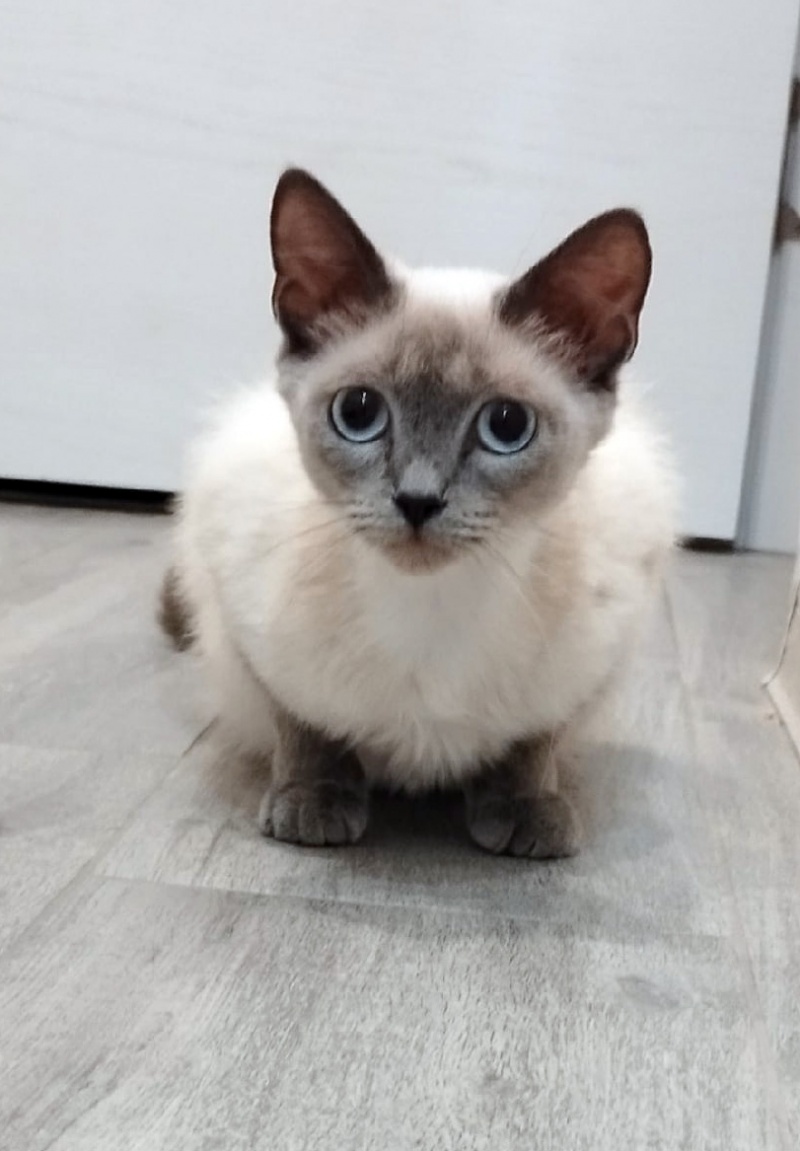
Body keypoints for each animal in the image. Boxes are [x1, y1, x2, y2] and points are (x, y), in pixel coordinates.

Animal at [161, 167, 676, 858]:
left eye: (506, 427)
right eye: (357, 413)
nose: (418, 501)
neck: (431, 608)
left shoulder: (596, 654)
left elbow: (532, 741)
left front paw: (525, 809)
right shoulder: (243, 616)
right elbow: (305, 726)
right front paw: (315, 801)